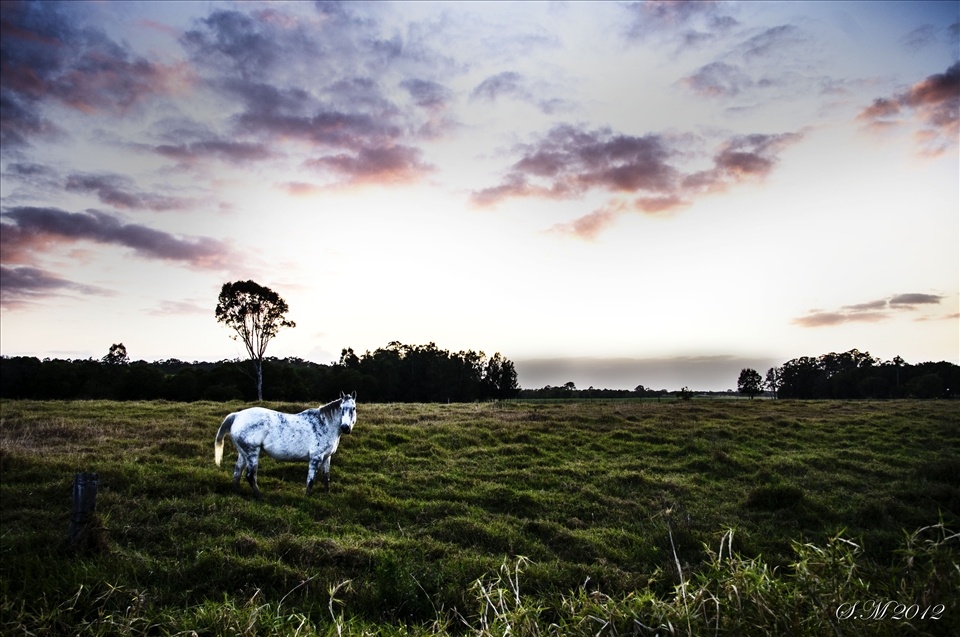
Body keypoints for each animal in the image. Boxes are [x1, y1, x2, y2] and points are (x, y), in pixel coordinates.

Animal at [214, 392, 357, 497]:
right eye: (341, 408)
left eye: (353, 408)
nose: (345, 427)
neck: (324, 424)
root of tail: (237, 415)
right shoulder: (316, 458)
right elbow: (310, 480)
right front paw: (307, 497)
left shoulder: (327, 457)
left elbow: (326, 477)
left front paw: (327, 494)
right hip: (252, 453)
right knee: (250, 476)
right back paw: (260, 496)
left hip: (243, 454)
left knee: (237, 473)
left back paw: (239, 494)